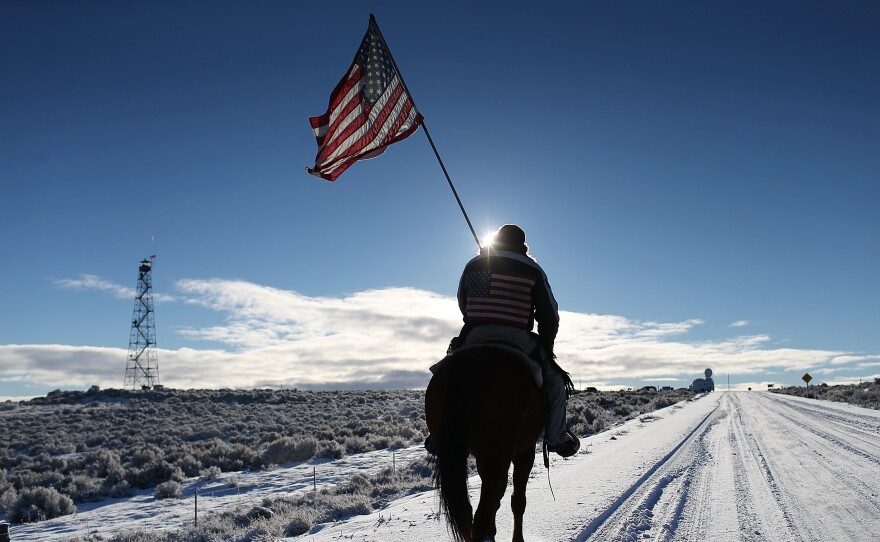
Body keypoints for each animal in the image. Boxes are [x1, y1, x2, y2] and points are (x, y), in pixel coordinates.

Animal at [424, 346, 544, 540]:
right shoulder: (525, 451)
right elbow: (517, 500)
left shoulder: (483, 457)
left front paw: (492, 532)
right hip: (501, 456)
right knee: (481, 514)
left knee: (468, 512)